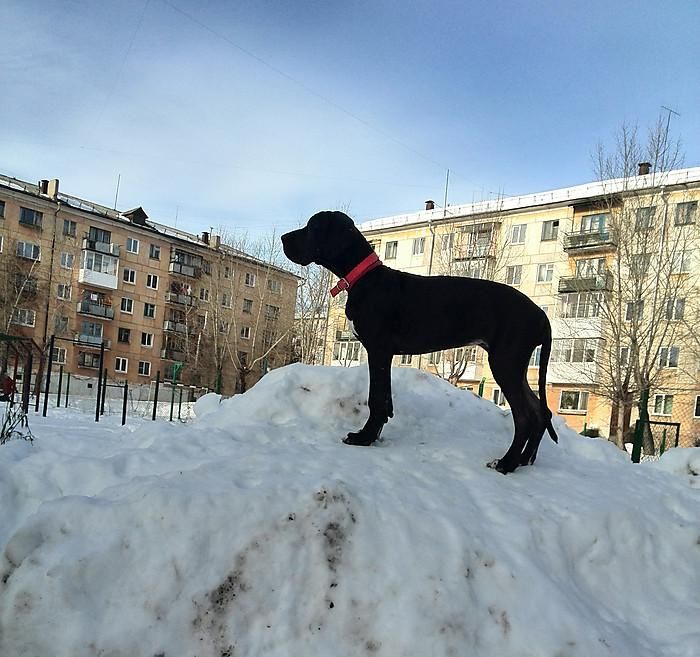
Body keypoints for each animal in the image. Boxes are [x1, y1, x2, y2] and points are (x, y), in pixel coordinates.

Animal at [282, 211, 558, 473]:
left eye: (312, 226)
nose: (284, 237)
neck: (366, 279)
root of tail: (542, 316)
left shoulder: (378, 350)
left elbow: (376, 398)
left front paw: (364, 437)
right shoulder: (385, 355)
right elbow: (385, 399)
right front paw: (374, 435)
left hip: (505, 362)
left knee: (525, 416)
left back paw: (506, 463)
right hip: (514, 366)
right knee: (540, 412)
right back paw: (524, 459)